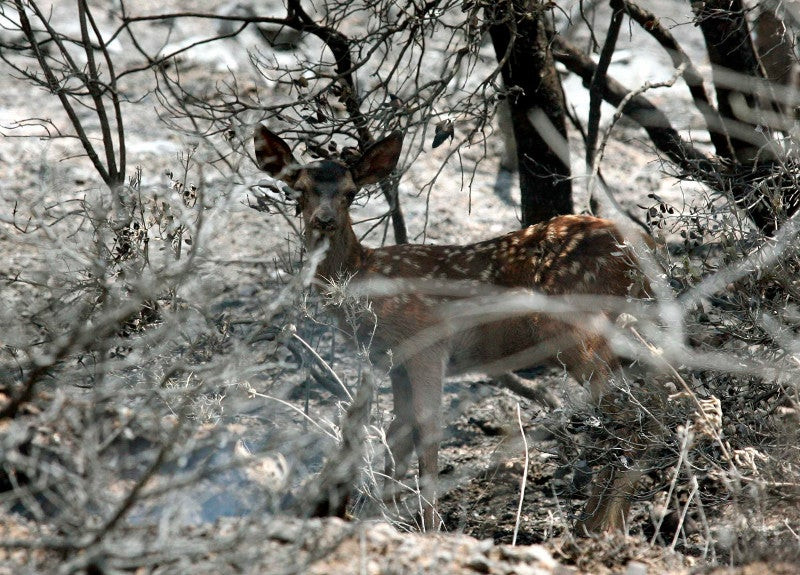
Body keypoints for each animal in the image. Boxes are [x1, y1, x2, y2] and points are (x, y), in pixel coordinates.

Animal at [256, 125, 656, 536]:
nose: (324, 220)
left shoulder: (426, 344)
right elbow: (396, 435)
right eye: (299, 189)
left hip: (575, 328)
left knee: (627, 408)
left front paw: (428, 527)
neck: (365, 278)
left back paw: (598, 524)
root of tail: (645, 249)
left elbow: (427, 433)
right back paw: (606, 521)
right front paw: (379, 518)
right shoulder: (394, 361)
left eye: (351, 192)